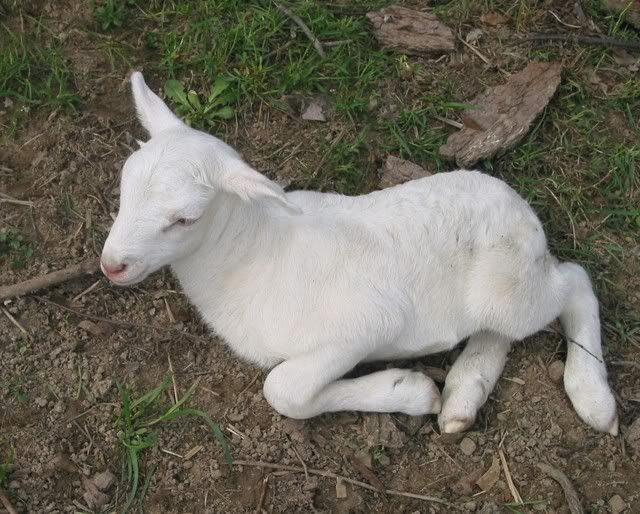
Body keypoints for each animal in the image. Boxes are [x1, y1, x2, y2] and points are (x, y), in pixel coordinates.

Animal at [101, 72, 618, 436]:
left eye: (185, 218)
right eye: (123, 184)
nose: (112, 265)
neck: (252, 255)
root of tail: (522, 211)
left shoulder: (362, 326)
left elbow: (283, 391)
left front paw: (408, 390)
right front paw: (421, 393)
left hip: (510, 288)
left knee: (575, 282)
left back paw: (593, 398)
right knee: (499, 330)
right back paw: (462, 397)